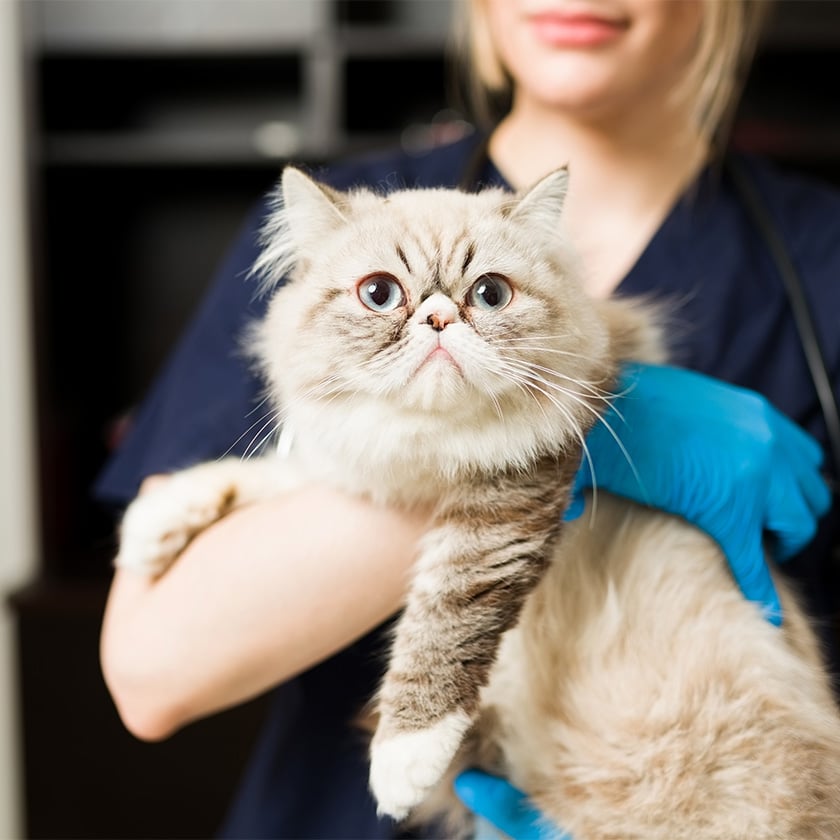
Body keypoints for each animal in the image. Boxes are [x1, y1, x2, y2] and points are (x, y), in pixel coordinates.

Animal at [113, 167, 840, 836]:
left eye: (489, 294)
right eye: (380, 294)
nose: (438, 317)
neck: (427, 456)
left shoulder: (505, 505)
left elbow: (441, 625)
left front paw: (402, 763)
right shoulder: (360, 467)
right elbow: (268, 474)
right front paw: (152, 529)